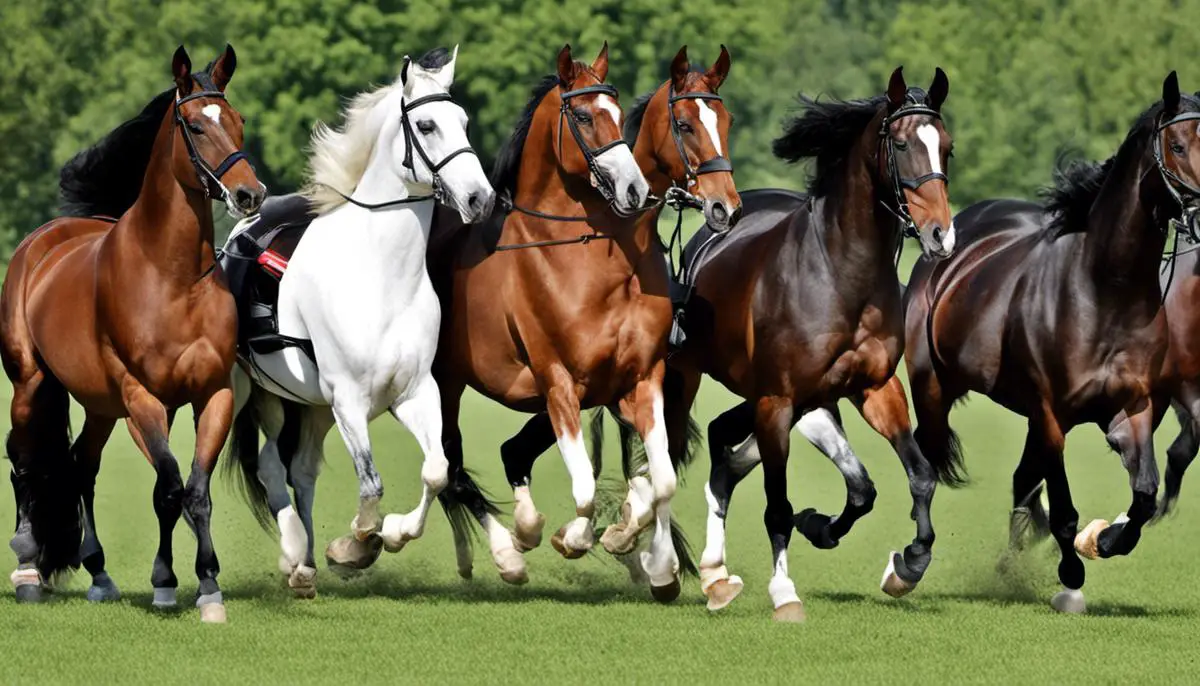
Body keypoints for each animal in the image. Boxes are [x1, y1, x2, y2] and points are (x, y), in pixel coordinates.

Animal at [2, 44, 265, 623]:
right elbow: (168, 487)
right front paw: (173, 585)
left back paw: (100, 574)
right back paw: (28, 569)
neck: (173, 277)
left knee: (82, 466)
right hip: (31, 384)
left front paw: (203, 589)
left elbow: (192, 492)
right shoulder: (142, 397)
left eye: (238, 121)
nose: (249, 194)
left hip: (100, 405)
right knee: (24, 460)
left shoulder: (209, 395)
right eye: (196, 125)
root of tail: (43, 242)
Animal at [220, 48, 492, 594]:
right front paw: (357, 543)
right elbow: (372, 484)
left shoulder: (414, 392)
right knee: (266, 468)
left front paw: (388, 536)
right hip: (252, 394)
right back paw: (292, 554)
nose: (481, 198)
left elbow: (435, 471)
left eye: (464, 123)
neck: (381, 276)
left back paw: (303, 563)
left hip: (309, 406)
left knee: (297, 470)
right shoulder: (349, 399)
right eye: (426, 125)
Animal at [427, 44, 734, 599]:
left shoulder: (640, 382)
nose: (727, 206)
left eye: (726, 120)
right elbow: (590, 486)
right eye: (684, 124)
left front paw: (642, 553)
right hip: (444, 383)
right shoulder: (560, 383)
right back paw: (500, 550)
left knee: (504, 454)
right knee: (452, 463)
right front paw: (573, 537)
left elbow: (658, 479)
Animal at [657, 68, 955, 623]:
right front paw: (785, 593)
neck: (841, 273)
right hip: (693, 380)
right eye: (903, 145)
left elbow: (912, 478)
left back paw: (715, 575)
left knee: (725, 461)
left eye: (947, 147)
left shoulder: (872, 389)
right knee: (671, 459)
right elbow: (778, 506)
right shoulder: (779, 400)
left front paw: (906, 563)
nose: (940, 236)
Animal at [902, 72, 1200, 614]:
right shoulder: (1053, 415)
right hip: (935, 389)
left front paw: (1103, 538)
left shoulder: (1135, 407)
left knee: (1022, 478)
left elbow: (1144, 495)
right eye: (1178, 144)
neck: (1105, 289)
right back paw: (912, 563)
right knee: (929, 459)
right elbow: (1064, 509)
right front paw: (1072, 573)